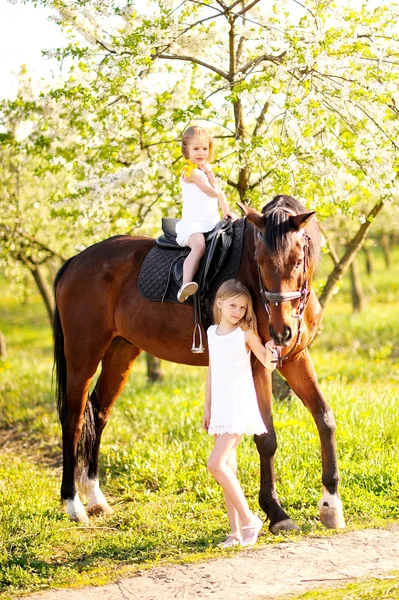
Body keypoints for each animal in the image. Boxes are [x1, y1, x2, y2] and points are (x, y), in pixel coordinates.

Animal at [54, 195, 346, 532]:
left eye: (298, 260)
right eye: (259, 262)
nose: (281, 330)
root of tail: (76, 261)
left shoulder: (294, 358)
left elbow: (324, 417)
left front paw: (330, 504)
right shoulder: (257, 364)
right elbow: (266, 437)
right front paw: (276, 512)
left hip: (120, 352)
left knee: (98, 414)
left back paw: (96, 498)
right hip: (82, 356)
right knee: (73, 419)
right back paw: (73, 504)